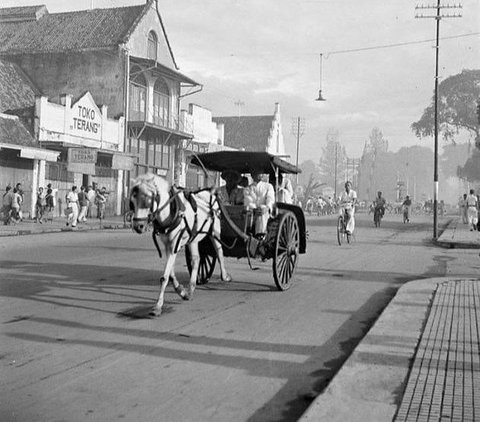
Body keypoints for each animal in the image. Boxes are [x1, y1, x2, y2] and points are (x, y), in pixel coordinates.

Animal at [128, 173, 232, 314]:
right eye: (132, 203)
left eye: (148, 200)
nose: (138, 226)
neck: (170, 211)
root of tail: (210, 192)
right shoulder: (167, 245)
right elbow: (170, 274)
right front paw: (181, 290)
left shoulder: (174, 245)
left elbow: (165, 277)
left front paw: (158, 306)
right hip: (193, 238)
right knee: (196, 260)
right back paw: (190, 289)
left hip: (214, 231)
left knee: (219, 252)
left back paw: (224, 276)